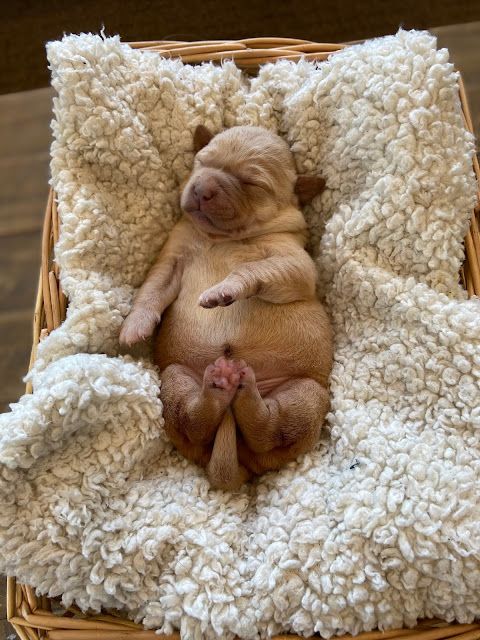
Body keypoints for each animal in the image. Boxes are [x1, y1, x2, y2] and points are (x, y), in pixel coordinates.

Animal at [119, 125, 334, 490]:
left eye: (252, 183)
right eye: (202, 161)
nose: (202, 188)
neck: (224, 238)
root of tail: (240, 462)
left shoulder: (296, 265)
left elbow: (251, 270)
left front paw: (224, 289)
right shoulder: (171, 260)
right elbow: (151, 290)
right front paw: (135, 325)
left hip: (307, 393)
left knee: (271, 429)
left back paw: (244, 394)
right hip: (176, 376)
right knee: (193, 420)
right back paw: (219, 388)